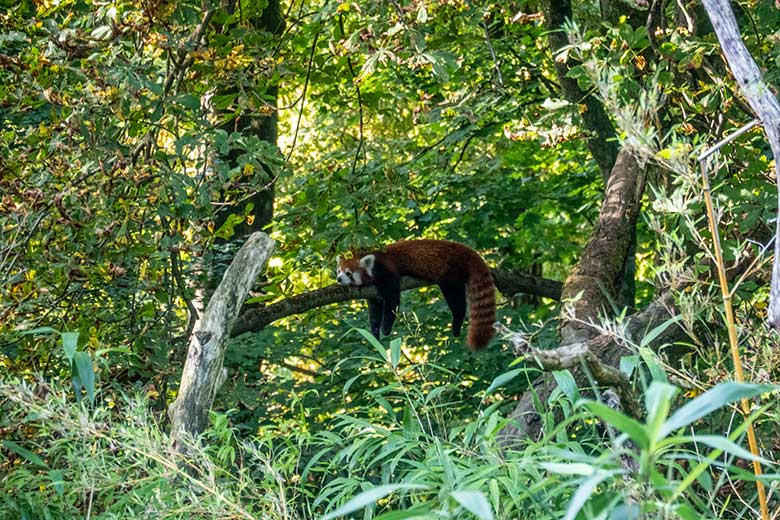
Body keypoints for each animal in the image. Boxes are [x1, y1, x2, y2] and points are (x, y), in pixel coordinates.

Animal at [336, 240, 496, 350]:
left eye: (348, 273)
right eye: (339, 271)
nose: (338, 279)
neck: (374, 264)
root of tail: (466, 250)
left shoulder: (387, 272)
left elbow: (392, 301)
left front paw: (386, 328)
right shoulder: (372, 292)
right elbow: (375, 311)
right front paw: (374, 334)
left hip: (450, 272)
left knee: (456, 299)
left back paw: (457, 321)